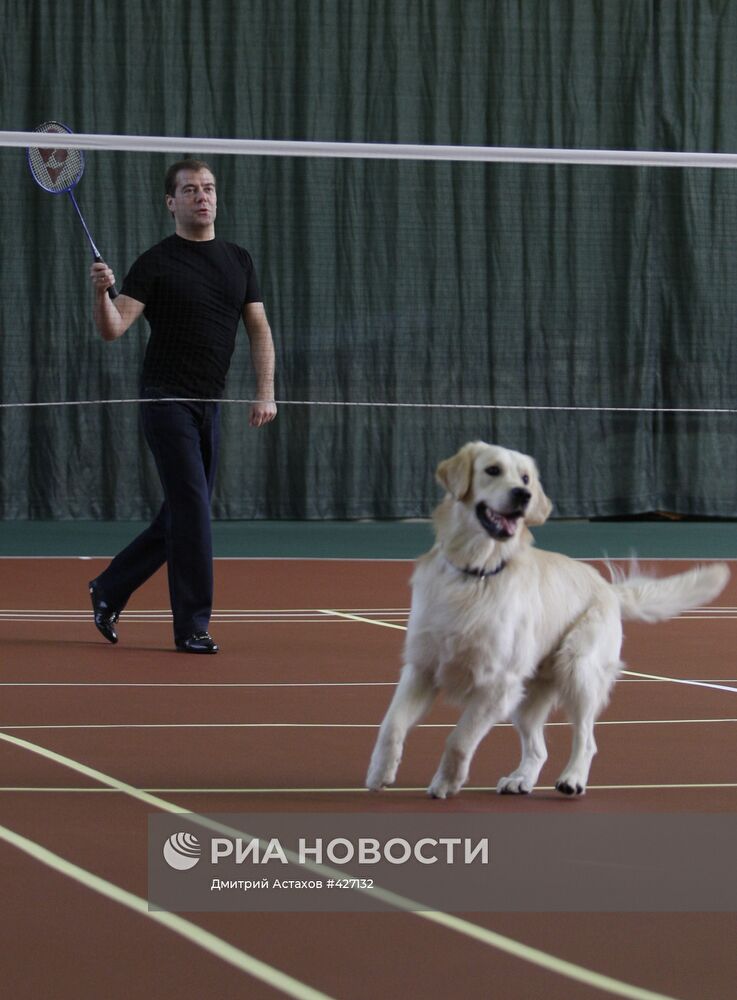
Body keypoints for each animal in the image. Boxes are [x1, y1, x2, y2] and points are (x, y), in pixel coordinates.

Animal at [366, 442, 728, 800]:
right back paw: (520, 779)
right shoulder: (423, 667)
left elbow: (459, 739)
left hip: (577, 667)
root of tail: (608, 588)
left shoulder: (498, 684)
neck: (476, 574)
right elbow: (391, 724)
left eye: (526, 478)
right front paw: (380, 773)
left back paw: (572, 778)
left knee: (587, 739)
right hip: (529, 696)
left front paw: (445, 783)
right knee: (538, 749)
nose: (522, 494)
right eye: (492, 470)